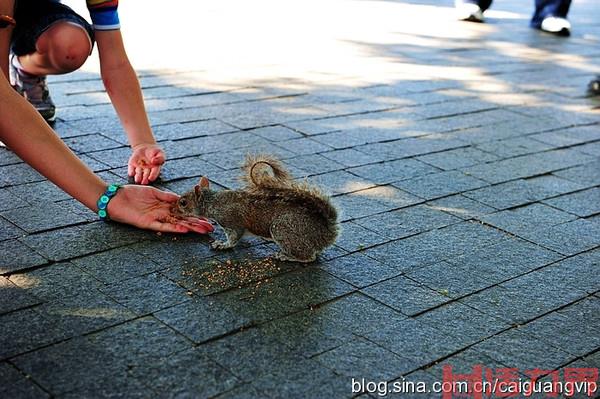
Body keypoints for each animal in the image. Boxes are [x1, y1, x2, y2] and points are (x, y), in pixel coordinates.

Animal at [171, 154, 340, 262]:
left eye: (183, 202)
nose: (172, 210)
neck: (214, 201)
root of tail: (325, 232)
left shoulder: (232, 221)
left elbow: (234, 237)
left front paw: (223, 245)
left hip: (283, 229)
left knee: (309, 257)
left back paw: (287, 257)